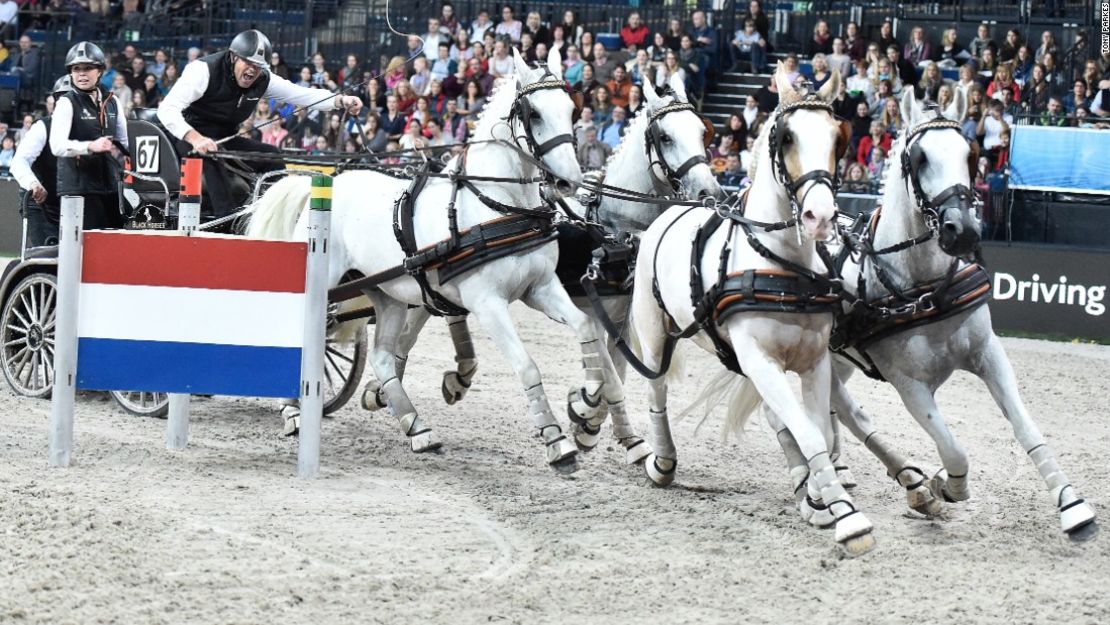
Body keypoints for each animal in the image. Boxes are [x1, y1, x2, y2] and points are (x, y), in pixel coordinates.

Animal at [245, 47, 626, 475]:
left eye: (572, 110)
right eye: (535, 114)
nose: (568, 182)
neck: (498, 207)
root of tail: (323, 182)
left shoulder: (541, 288)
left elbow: (585, 325)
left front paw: (587, 397)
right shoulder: (487, 304)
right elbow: (527, 365)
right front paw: (557, 441)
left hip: (388, 294)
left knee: (381, 358)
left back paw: (418, 429)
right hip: (323, 284)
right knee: (300, 333)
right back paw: (293, 413)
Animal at [626, 67, 874, 557]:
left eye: (838, 138)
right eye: (786, 137)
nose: (820, 216)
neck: (783, 264)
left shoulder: (813, 361)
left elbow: (817, 429)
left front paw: (822, 499)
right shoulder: (760, 358)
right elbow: (810, 432)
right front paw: (849, 520)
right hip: (655, 332)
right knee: (656, 390)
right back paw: (662, 461)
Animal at [808, 90, 1101, 539]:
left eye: (970, 152)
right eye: (920, 158)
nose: (962, 230)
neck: (925, 288)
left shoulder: (989, 354)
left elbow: (1024, 426)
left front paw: (1071, 504)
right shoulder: (909, 385)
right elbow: (952, 447)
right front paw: (946, 485)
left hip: (842, 359)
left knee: (836, 409)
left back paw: (851, 469)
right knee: (847, 413)